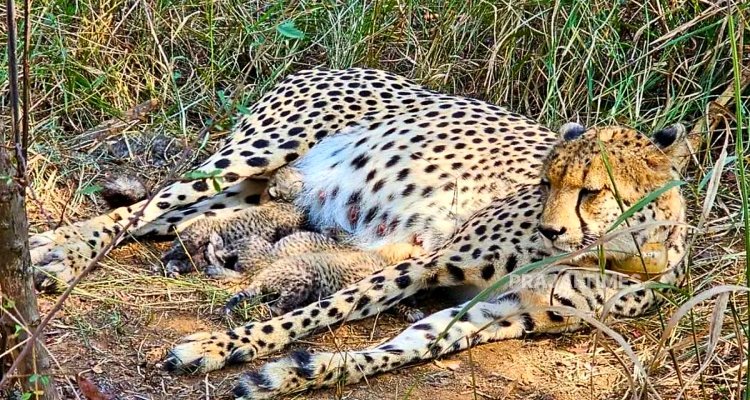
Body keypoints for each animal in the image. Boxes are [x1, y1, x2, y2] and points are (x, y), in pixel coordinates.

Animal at [25, 68, 698, 398]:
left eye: (592, 191)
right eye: (545, 182)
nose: (551, 227)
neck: (615, 254)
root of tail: (325, 64)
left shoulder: (497, 313)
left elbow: (395, 349)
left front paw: (292, 375)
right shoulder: (431, 262)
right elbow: (327, 309)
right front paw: (223, 346)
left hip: (252, 191)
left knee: (175, 220)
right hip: (255, 154)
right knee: (143, 207)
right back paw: (55, 254)